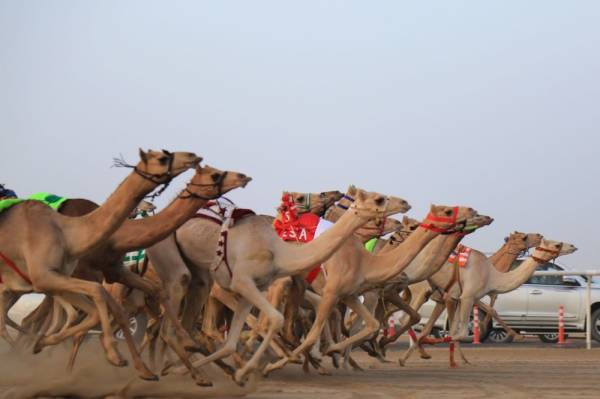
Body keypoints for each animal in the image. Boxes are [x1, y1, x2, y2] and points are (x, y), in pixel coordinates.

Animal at [0, 148, 202, 380]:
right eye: (162, 158)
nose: (192, 157)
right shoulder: (70, 277)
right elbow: (102, 308)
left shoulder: (111, 274)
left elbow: (117, 311)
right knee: (30, 319)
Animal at [155, 188, 410, 384]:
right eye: (379, 199)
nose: (405, 203)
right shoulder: (245, 281)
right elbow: (277, 321)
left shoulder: (258, 288)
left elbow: (239, 338)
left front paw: (242, 370)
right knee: (179, 316)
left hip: (203, 280)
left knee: (193, 323)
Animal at [264, 203, 488, 376]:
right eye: (448, 211)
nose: (481, 214)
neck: (368, 262)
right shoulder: (360, 292)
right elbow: (351, 326)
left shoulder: (354, 294)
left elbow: (372, 324)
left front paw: (345, 354)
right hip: (285, 284)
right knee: (281, 319)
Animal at [404, 238, 576, 368]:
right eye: (557, 244)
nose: (573, 246)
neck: (492, 276)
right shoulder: (467, 297)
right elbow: (460, 332)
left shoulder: (463, 297)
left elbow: (455, 330)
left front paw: (460, 361)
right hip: (419, 290)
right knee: (408, 318)